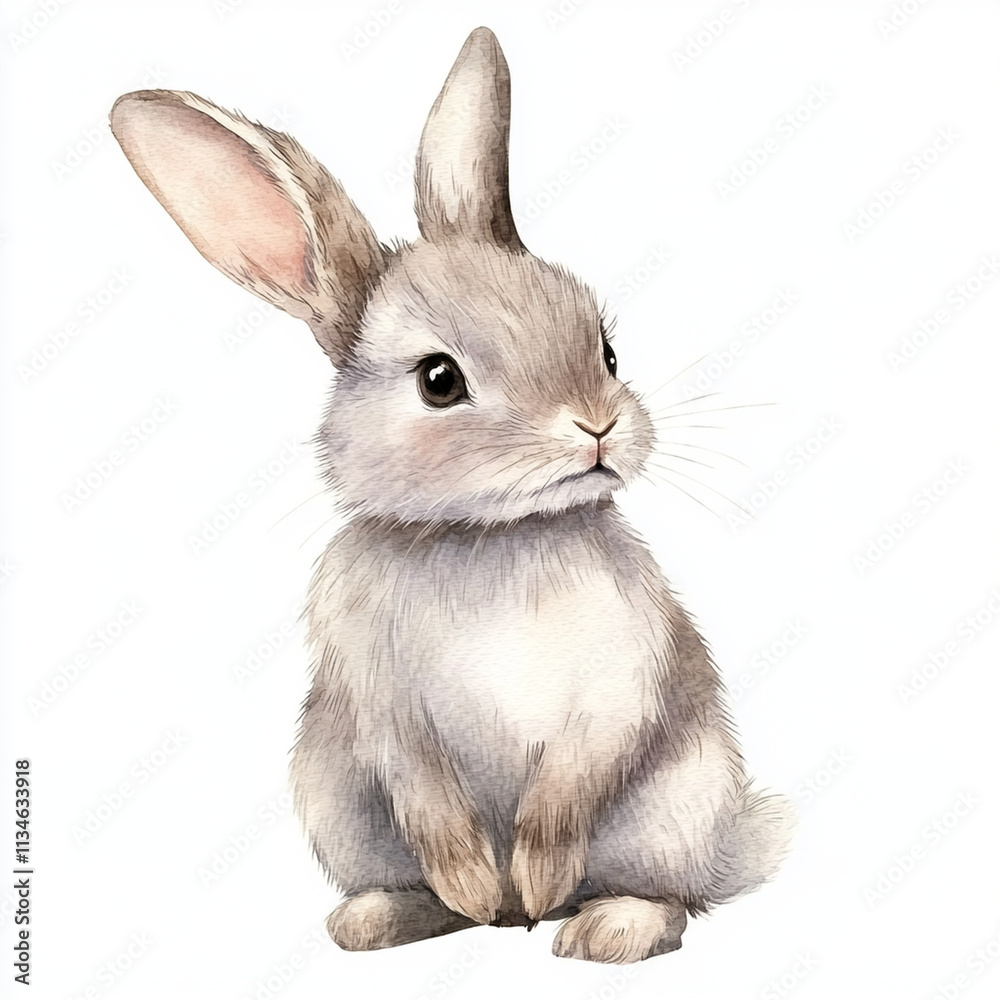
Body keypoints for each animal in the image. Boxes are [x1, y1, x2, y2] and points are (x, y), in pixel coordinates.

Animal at [110, 26, 794, 964]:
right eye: (439, 380)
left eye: (606, 348)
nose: (597, 426)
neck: (489, 536)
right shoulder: (380, 707)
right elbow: (425, 790)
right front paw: (476, 879)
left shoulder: (617, 681)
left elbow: (572, 781)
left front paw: (535, 875)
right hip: (338, 801)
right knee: (430, 890)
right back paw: (401, 917)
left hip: (674, 810)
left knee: (673, 898)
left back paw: (597, 926)